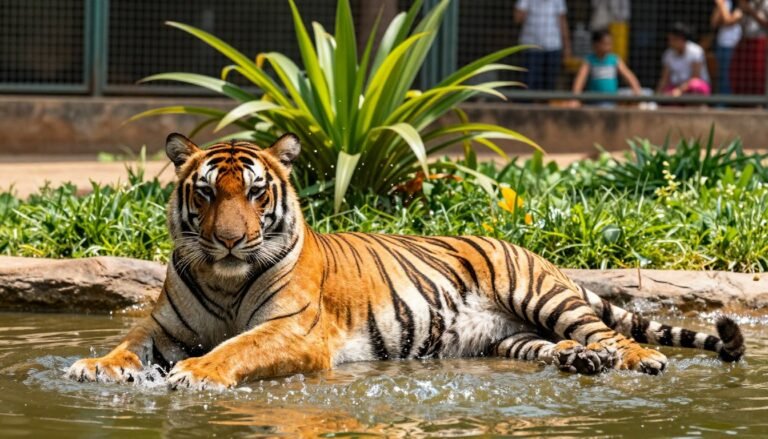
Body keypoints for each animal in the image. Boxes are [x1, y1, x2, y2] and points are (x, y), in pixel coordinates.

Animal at [67, 133, 745, 390]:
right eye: (207, 193)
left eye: (256, 193)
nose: (232, 241)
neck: (224, 278)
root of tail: (528, 248)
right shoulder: (161, 328)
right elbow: (127, 345)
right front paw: (95, 366)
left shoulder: (294, 332)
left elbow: (236, 348)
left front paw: (198, 373)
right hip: (506, 337)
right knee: (555, 346)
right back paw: (580, 361)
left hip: (541, 295)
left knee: (607, 330)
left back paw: (634, 358)